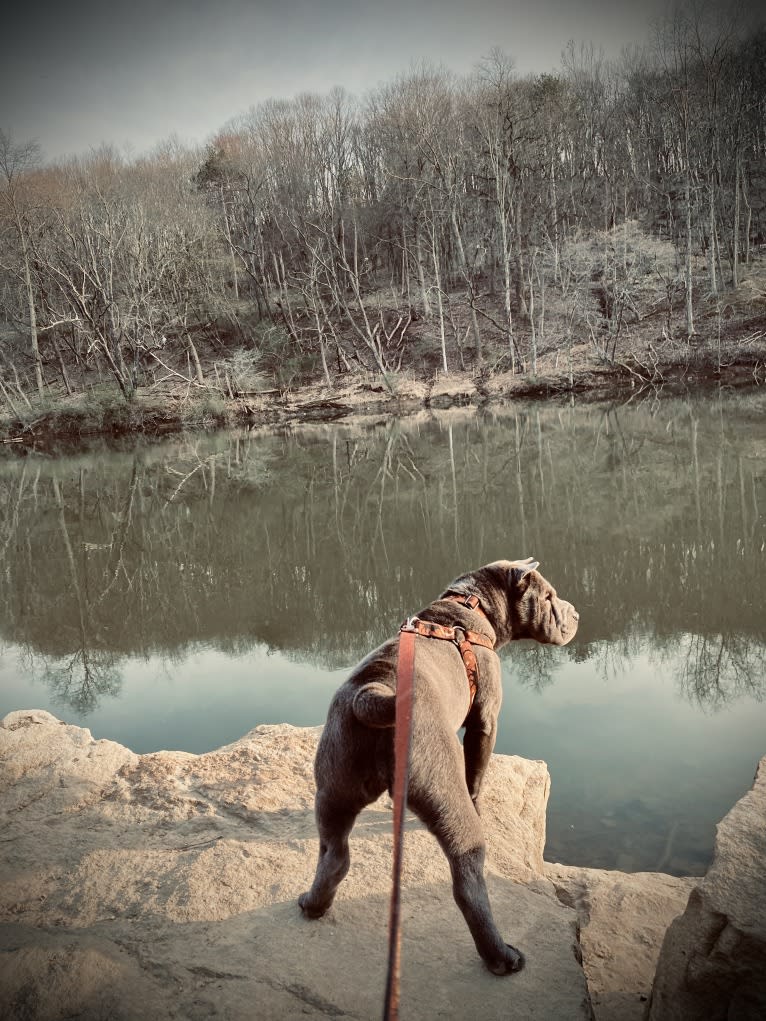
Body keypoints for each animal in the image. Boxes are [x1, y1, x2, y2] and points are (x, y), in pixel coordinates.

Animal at [300, 563, 580, 976]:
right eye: (548, 597)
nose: (576, 614)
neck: (470, 604)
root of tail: (375, 694)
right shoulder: (486, 721)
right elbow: (476, 772)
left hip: (333, 787)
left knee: (334, 855)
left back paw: (313, 904)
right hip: (446, 795)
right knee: (467, 880)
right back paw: (500, 956)